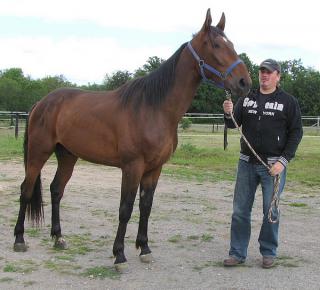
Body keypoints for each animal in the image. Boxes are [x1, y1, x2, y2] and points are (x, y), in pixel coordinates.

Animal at [13, 9, 252, 272]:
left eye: (231, 44)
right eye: (217, 45)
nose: (244, 82)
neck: (153, 108)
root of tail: (42, 103)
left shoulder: (154, 169)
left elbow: (145, 206)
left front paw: (144, 248)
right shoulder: (132, 167)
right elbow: (125, 209)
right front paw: (119, 255)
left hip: (67, 155)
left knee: (56, 190)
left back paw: (58, 238)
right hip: (39, 153)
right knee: (26, 190)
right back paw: (19, 239)